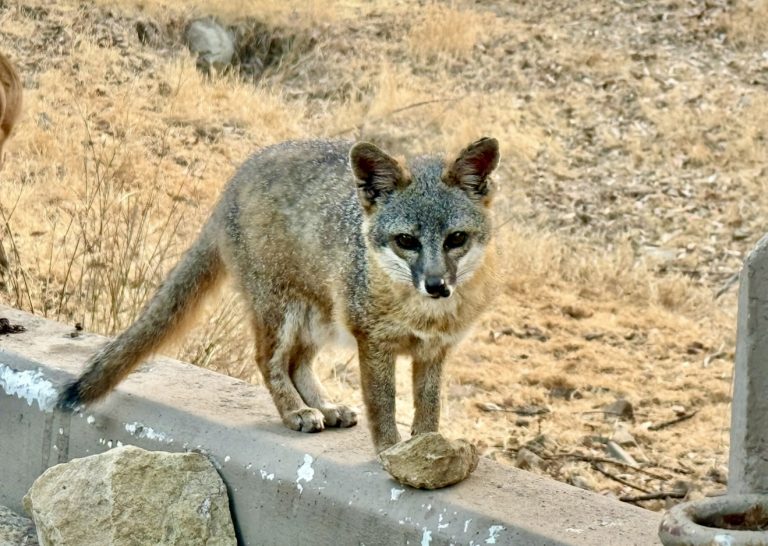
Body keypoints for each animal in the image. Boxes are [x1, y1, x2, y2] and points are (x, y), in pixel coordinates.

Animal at [58, 137, 501, 453]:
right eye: (406, 241)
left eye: (456, 239)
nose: (437, 285)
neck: (422, 315)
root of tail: (238, 176)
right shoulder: (372, 341)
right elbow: (384, 403)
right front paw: (391, 453)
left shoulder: (434, 350)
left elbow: (429, 408)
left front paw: (426, 449)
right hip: (279, 311)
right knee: (268, 360)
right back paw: (295, 412)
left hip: (319, 319)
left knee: (296, 362)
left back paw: (323, 407)